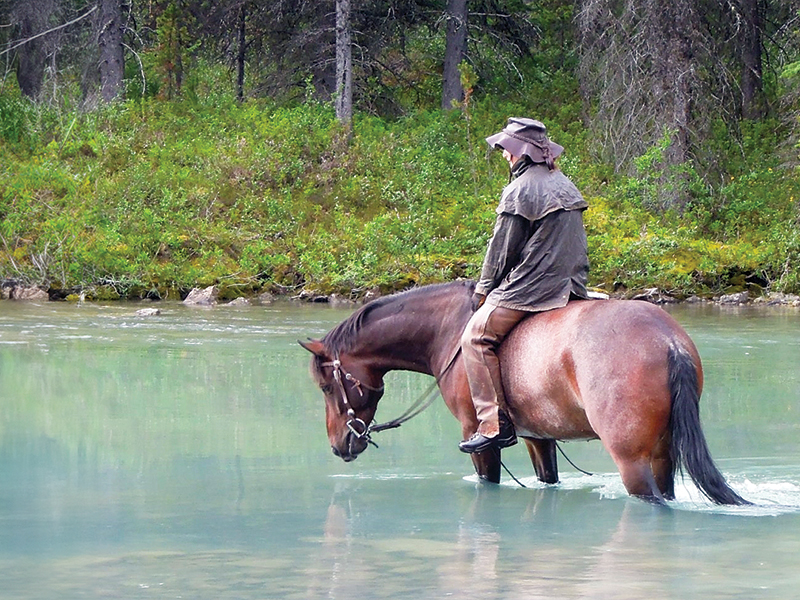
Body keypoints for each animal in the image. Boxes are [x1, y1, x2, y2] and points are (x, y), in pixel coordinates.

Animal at [300, 280, 749, 505]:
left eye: (326, 385)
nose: (340, 445)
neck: (448, 331)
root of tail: (668, 340)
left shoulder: (478, 437)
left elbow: (487, 480)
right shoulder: (539, 438)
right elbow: (547, 479)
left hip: (632, 461)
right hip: (661, 455)